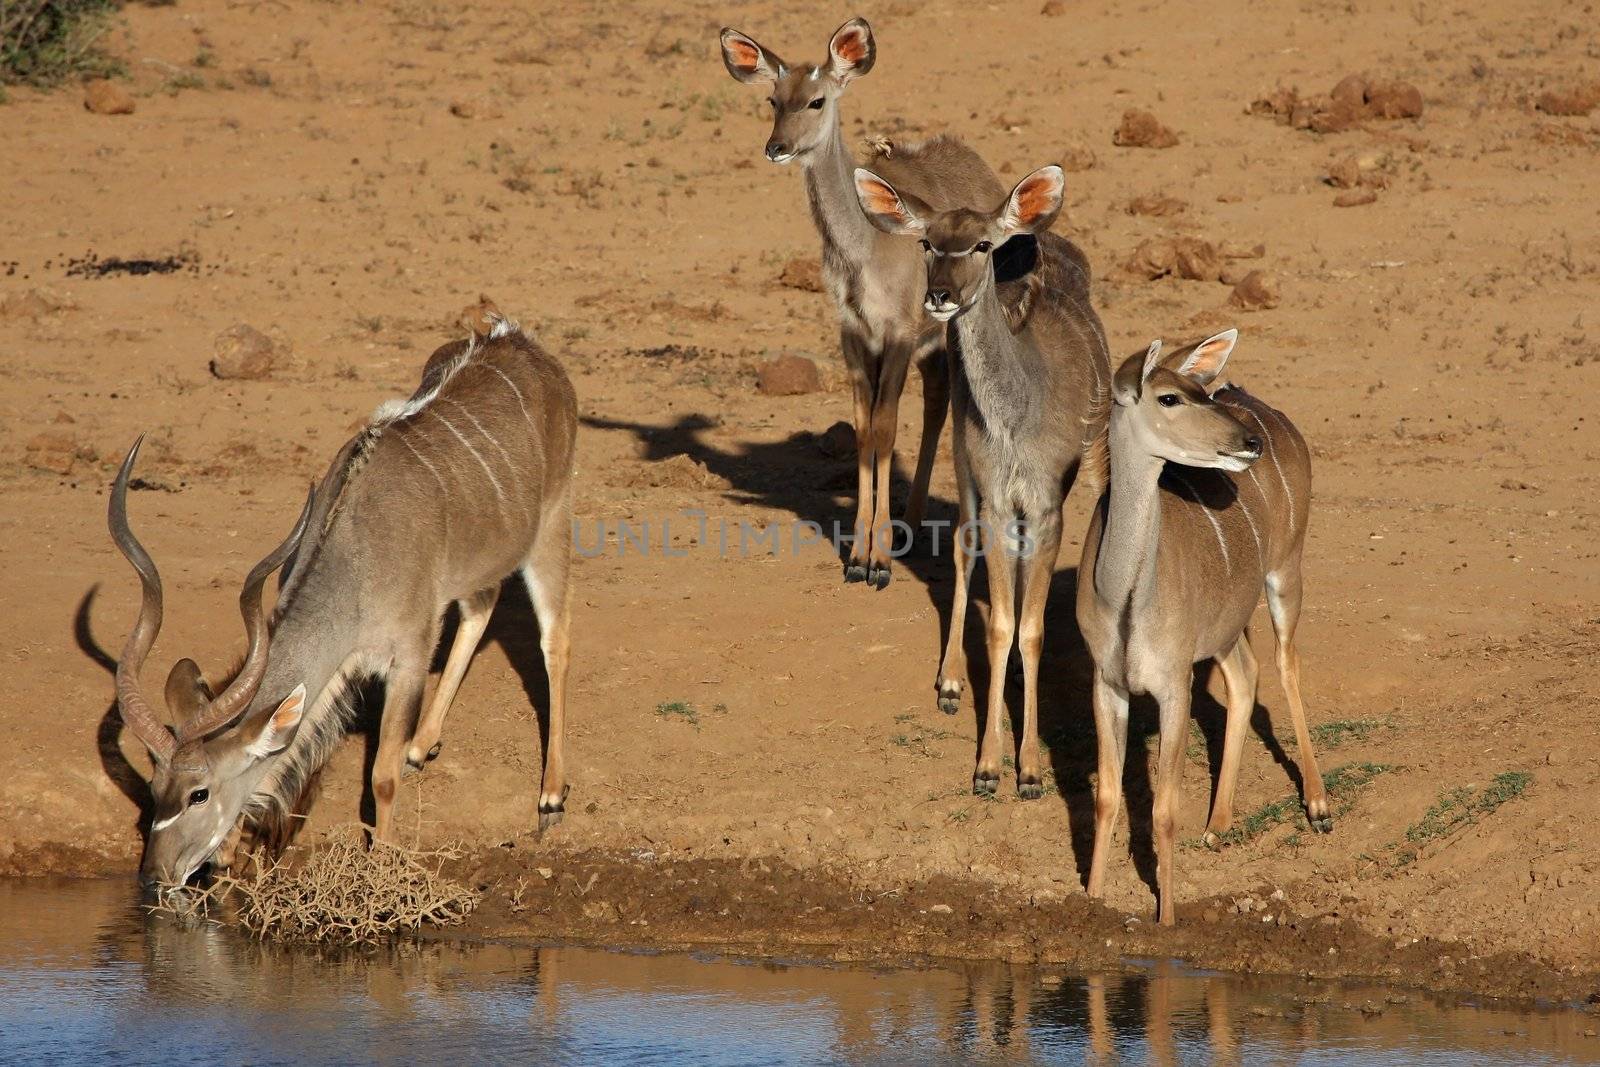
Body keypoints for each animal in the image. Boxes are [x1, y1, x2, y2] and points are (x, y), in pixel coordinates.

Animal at [111, 300, 576, 883]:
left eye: (200, 793)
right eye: (154, 787)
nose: (154, 876)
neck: (356, 555)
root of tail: (517, 338)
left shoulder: (409, 656)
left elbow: (381, 775)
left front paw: (383, 868)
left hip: (551, 528)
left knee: (555, 642)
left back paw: (551, 796)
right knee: (482, 607)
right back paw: (423, 746)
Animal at [723, 14, 1004, 585]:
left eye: (816, 100)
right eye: (773, 99)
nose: (776, 147)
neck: (863, 249)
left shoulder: (896, 333)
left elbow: (885, 427)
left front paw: (875, 561)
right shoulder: (853, 335)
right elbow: (861, 429)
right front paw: (857, 554)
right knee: (937, 392)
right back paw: (910, 525)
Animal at [851, 167, 1113, 796]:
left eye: (981, 246)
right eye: (927, 242)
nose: (940, 295)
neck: (1019, 414)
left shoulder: (1045, 506)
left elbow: (1032, 627)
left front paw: (1031, 770)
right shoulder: (994, 495)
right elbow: (998, 624)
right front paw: (991, 767)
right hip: (962, 461)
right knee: (963, 551)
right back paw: (949, 682)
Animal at [1081, 334, 1331, 927]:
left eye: (1201, 391)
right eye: (1169, 397)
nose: (1248, 442)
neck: (1125, 599)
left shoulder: (1174, 683)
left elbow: (1164, 808)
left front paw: (1167, 917)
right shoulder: (1107, 682)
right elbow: (1106, 795)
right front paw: (1092, 899)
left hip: (1286, 570)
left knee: (1285, 663)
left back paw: (1318, 804)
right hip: (1226, 626)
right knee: (1246, 675)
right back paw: (1218, 825)